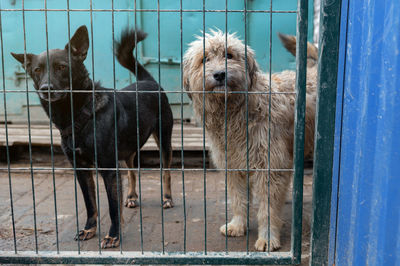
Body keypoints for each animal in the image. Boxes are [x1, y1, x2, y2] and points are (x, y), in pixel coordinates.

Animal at [10, 26, 173, 248]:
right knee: (132, 171)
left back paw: (167, 198)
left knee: (166, 172)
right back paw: (131, 196)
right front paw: (89, 229)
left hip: (164, 139)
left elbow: (113, 208)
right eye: (36, 70)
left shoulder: (108, 168)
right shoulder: (81, 169)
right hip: (128, 149)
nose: (46, 90)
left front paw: (113, 236)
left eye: (62, 67)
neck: (78, 113)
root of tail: (147, 81)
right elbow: (90, 203)